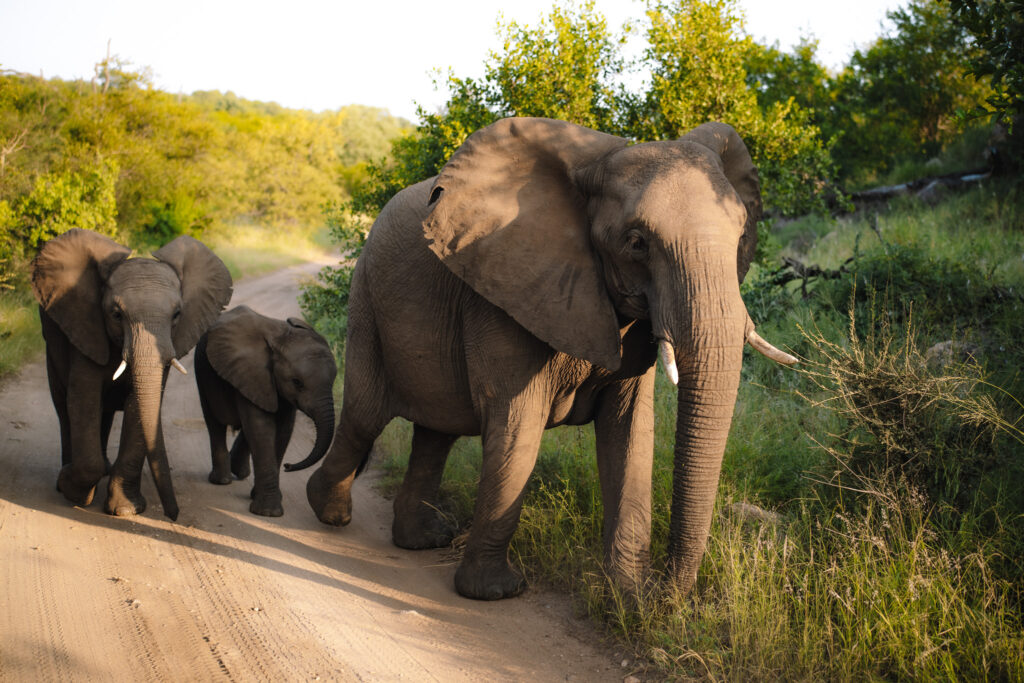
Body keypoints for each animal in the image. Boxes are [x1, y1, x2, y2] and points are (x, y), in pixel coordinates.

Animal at [33, 227, 233, 520]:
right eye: (116, 314)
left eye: (177, 314)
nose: (174, 515)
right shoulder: (86, 327)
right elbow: (83, 399)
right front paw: (74, 490)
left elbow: (139, 407)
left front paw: (126, 510)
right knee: (63, 405)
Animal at [192, 307, 335, 516]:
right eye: (297, 383)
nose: (288, 466)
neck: (280, 338)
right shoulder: (251, 374)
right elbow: (261, 427)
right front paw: (268, 512)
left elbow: (283, 429)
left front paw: (260, 500)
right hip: (202, 371)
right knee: (214, 423)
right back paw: (221, 480)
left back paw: (240, 472)